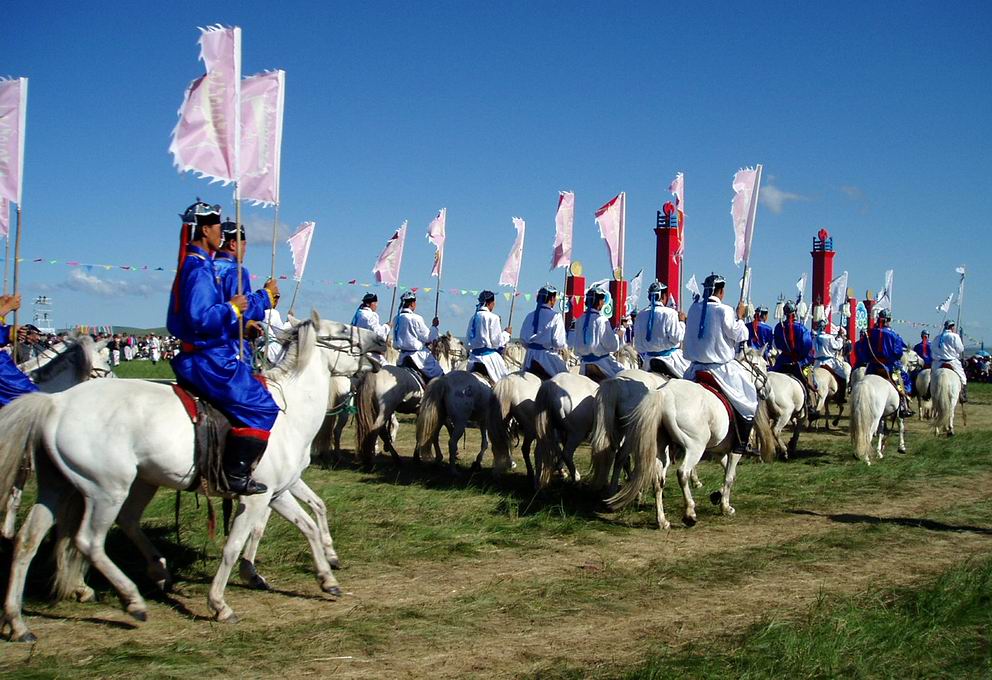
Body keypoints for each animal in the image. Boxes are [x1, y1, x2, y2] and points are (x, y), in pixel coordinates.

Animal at [0, 314, 384, 644]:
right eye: (343, 331)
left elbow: (308, 525)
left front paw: (327, 579)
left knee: (32, 540)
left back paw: (20, 622)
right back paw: (133, 600)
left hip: (75, 486)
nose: (382, 342)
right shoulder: (257, 497)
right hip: (106, 490)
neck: (288, 408)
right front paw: (220, 604)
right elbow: (233, 546)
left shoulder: (276, 493)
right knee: (89, 541)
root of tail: (55, 404)